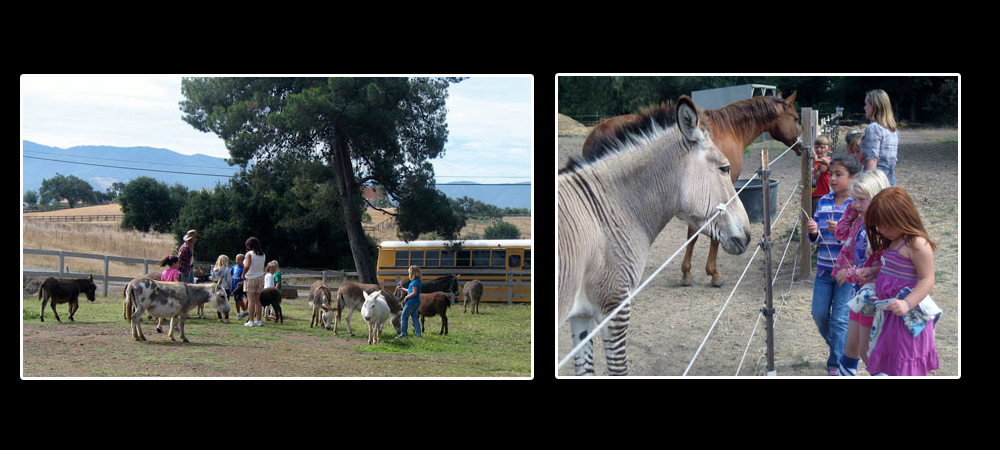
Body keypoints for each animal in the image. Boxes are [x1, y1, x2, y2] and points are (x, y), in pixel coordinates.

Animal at [580, 93, 804, 286]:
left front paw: (690, 272)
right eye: (795, 118)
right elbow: (701, 234)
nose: (802, 147)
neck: (729, 129)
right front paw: (710, 273)